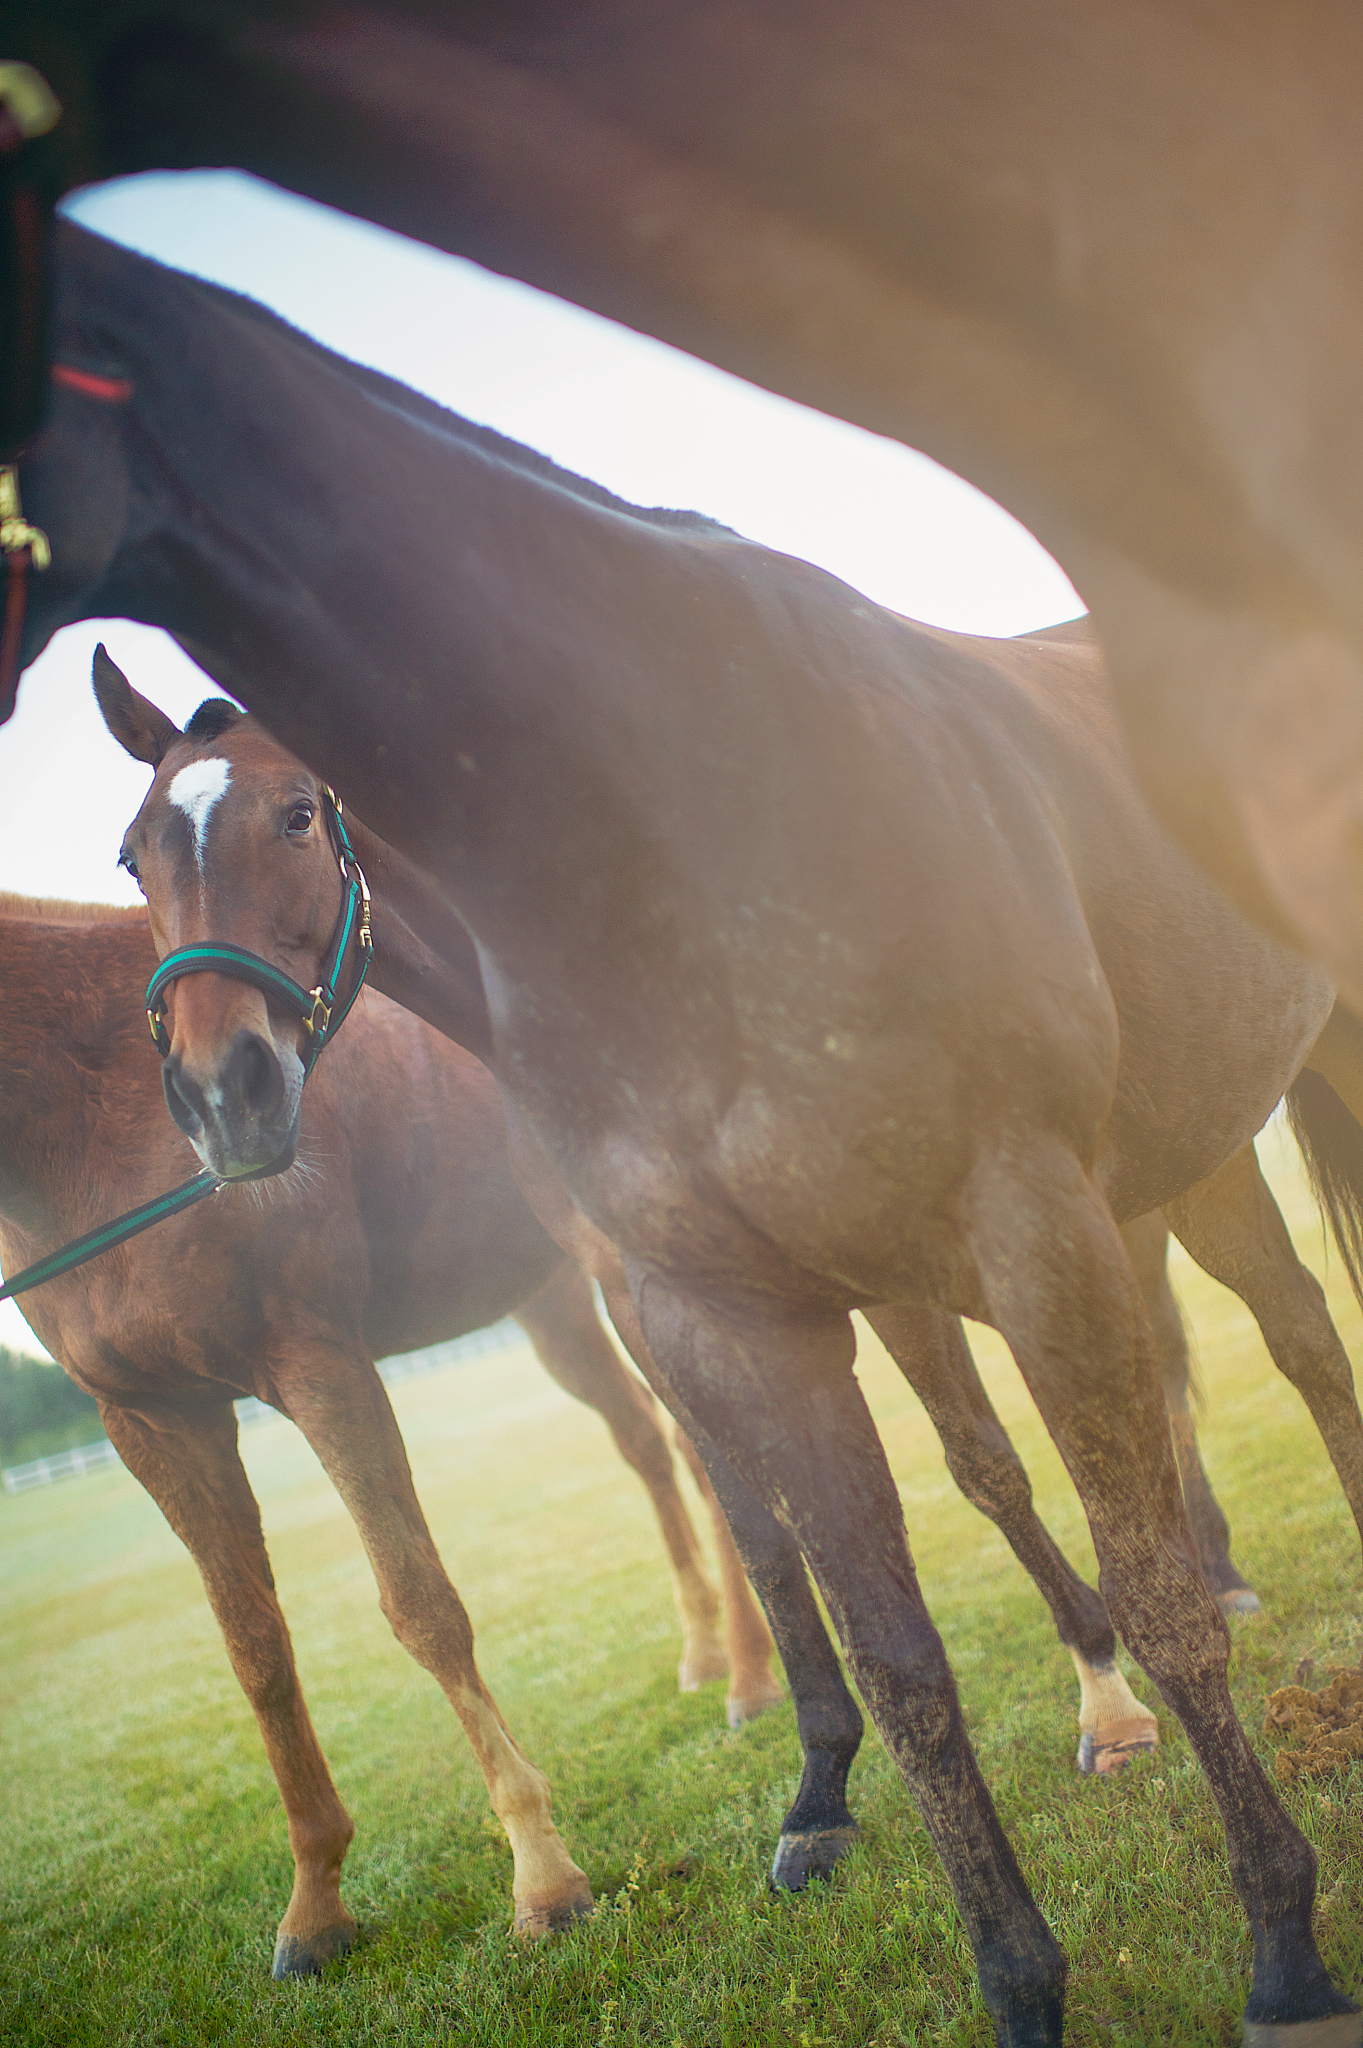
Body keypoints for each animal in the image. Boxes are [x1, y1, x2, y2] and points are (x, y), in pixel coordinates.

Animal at [0, 892, 797, 1970]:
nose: (228, 1108)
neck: (86, 1107)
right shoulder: (154, 1421)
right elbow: (254, 1648)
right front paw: (314, 1904)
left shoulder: (318, 1363)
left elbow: (419, 1602)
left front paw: (544, 1877)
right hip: (551, 1304)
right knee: (652, 1446)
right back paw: (708, 1652)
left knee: (704, 1453)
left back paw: (750, 1678)